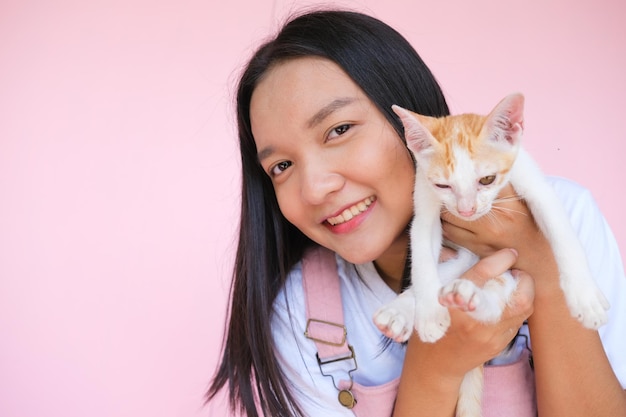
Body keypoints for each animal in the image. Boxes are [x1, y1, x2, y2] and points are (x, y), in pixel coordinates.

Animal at [372, 92, 608, 414]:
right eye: (443, 185)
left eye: (487, 180)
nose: (466, 210)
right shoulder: (424, 206)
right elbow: (422, 257)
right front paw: (430, 316)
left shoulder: (535, 185)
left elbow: (563, 235)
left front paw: (585, 297)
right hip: (463, 261)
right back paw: (403, 311)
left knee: (494, 307)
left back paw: (467, 297)